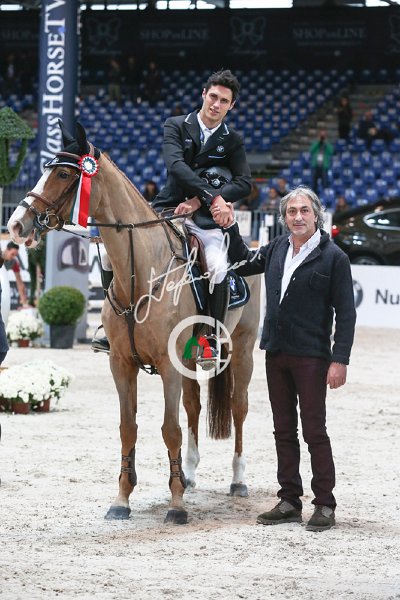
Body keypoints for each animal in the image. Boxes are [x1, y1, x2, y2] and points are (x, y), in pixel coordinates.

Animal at [8, 121, 261, 525]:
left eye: (63, 173)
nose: (16, 225)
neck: (141, 271)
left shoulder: (168, 365)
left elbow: (170, 429)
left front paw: (176, 506)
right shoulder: (121, 363)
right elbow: (129, 428)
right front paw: (122, 499)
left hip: (242, 350)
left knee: (238, 407)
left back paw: (237, 480)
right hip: (190, 360)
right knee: (194, 407)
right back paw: (189, 475)